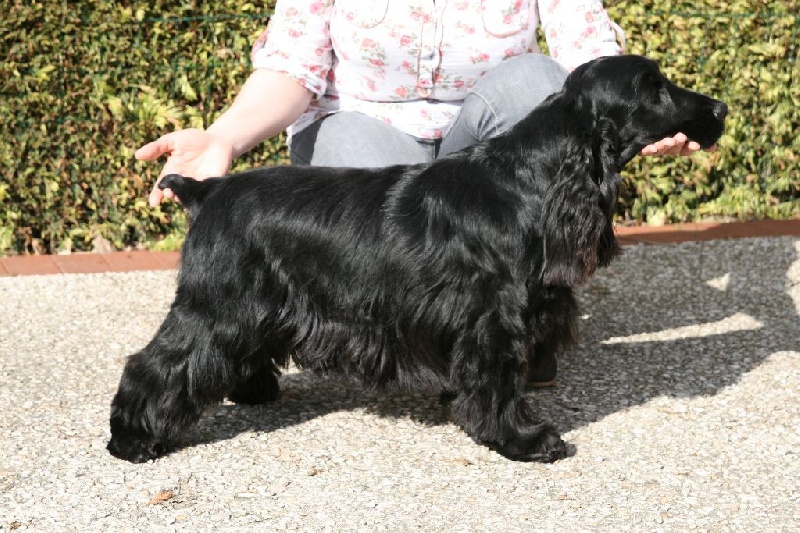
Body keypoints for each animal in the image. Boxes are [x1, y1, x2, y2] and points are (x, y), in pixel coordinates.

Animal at [108, 55, 727, 463]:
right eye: (655, 88)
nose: (720, 107)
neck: (529, 181)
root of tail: (206, 189)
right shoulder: (494, 318)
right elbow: (499, 384)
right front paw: (522, 440)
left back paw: (251, 390)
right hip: (217, 303)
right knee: (152, 363)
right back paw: (133, 439)